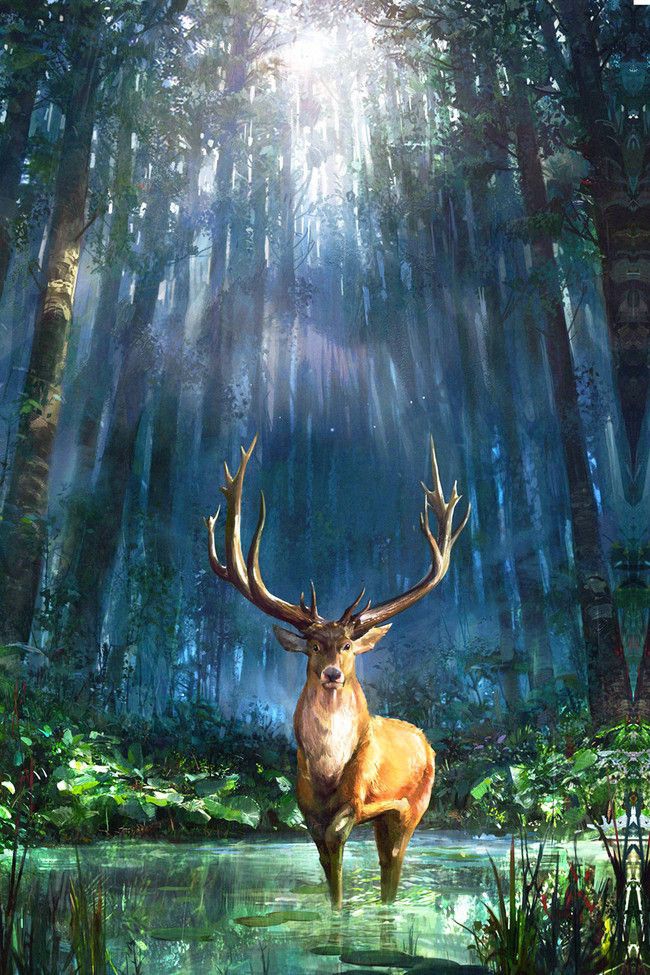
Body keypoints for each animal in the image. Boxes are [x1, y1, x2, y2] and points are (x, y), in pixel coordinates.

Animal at [205, 435, 469, 908]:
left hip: (415, 804)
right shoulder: (306, 805)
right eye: (313, 646)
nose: (331, 674)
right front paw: (335, 910)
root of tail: (425, 740)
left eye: (346, 645)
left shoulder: (358, 797)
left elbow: (339, 835)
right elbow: (328, 864)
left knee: (392, 865)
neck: (328, 768)